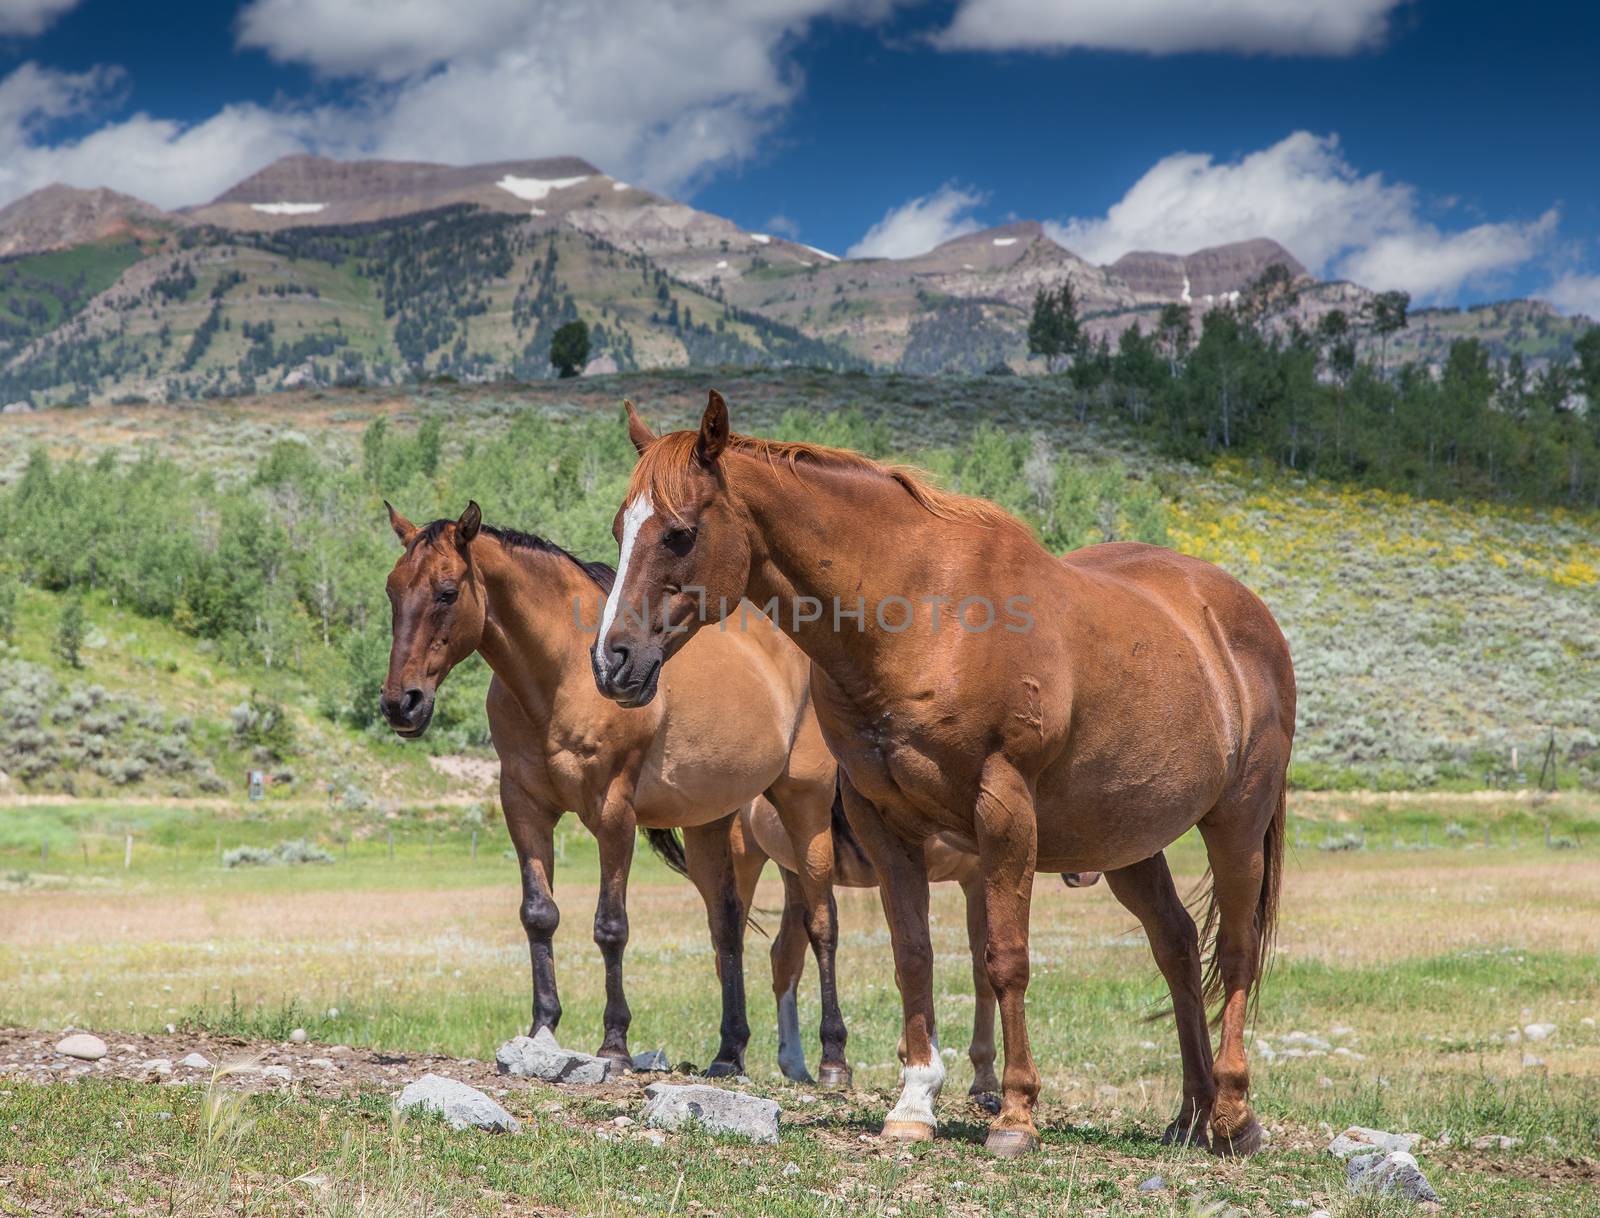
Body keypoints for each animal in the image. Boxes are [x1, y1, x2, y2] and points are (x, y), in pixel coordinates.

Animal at [376, 502, 851, 1081]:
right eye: (393, 590)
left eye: (447, 592)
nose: (401, 703)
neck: (563, 674)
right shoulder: (524, 808)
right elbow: (539, 914)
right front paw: (542, 1029)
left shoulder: (613, 814)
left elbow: (610, 926)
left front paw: (614, 1044)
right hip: (710, 825)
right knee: (727, 925)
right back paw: (728, 1053)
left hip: (805, 809)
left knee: (820, 923)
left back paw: (832, 1060)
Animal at [595, 396, 1292, 1158]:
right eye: (619, 528)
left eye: (680, 534)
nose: (611, 661)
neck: (923, 615)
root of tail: (1241, 616)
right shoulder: (884, 821)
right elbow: (913, 956)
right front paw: (914, 1102)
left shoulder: (1003, 812)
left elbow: (1005, 959)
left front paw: (1014, 1113)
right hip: (1127, 844)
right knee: (1177, 946)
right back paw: (1189, 1115)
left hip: (1236, 822)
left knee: (1235, 952)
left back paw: (1233, 1115)